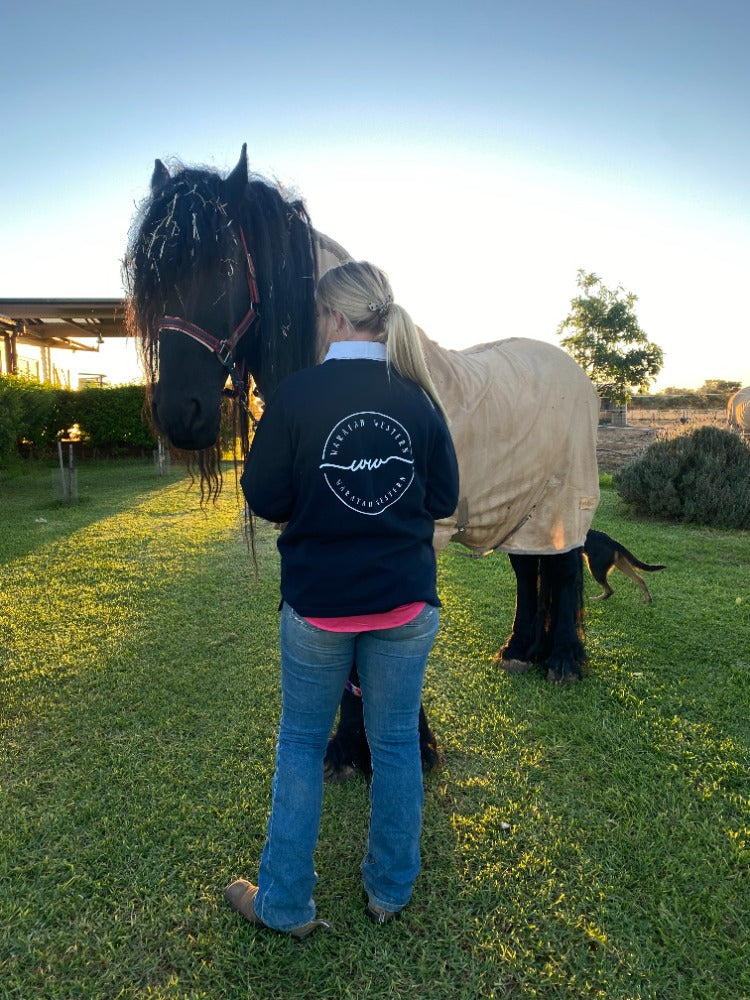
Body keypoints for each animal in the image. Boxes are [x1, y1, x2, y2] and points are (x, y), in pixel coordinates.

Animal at [126, 145, 604, 776]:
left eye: (225, 267)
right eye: (151, 278)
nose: (180, 412)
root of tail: (570, 365)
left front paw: (407, 746)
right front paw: (352, 747)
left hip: (563, 496)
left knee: (566, 566)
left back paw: (565, 661)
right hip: (518, 504)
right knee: (531, 569)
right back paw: (521, 649)